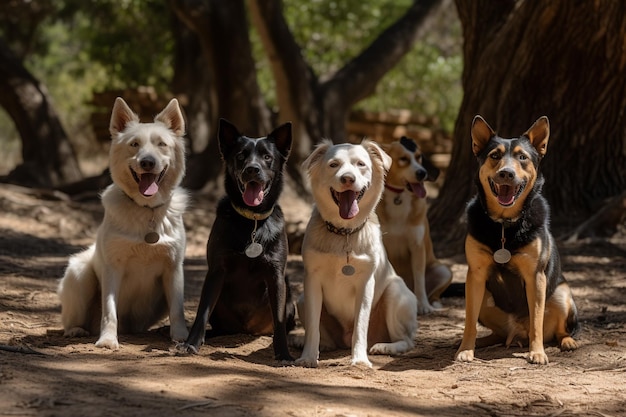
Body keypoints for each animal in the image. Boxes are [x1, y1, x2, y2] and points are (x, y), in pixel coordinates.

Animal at [59, 96, 190, 348]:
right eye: (134, 144)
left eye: (161, 144)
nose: (147, 162)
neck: (146, 210)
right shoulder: (113, 267)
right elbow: (109, 311)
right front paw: (108, 340)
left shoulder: (173, 267)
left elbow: (177, 309)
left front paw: (181, 336)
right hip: (80, 275)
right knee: (73, 320)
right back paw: (76, 330)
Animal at [178, 118, 294, 360]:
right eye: (241, 156)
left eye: (267, 157)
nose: (252, 169)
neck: (252, 222)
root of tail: (247, 329)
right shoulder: (216, 271)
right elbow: (202, 312)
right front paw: (191, 344)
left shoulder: (276, 275)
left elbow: (279, 321)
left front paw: (283, 354)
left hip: (290, 288)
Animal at [376, 138, 448, 314]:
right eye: (403, 159)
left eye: (419, 157)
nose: (422, 173)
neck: (399, 196)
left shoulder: (417, 246)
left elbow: (419, 279)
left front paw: (423, 305)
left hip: (443, 270)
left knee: (434, 292)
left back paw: (434, 303)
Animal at [454, 114, 580, 364]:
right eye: (495, 156)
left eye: (522, 157)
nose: (506, 173)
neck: (504, 224)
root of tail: (515, 334)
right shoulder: (476, 275)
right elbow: (469, 323)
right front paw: (465, 349)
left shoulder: (535, 277)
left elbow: (536, 320)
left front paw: (537, 352)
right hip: (482, 297)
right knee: (494, 333)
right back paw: (481, 342)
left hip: (562, 294)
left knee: (559, 330)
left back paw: (567, 342)